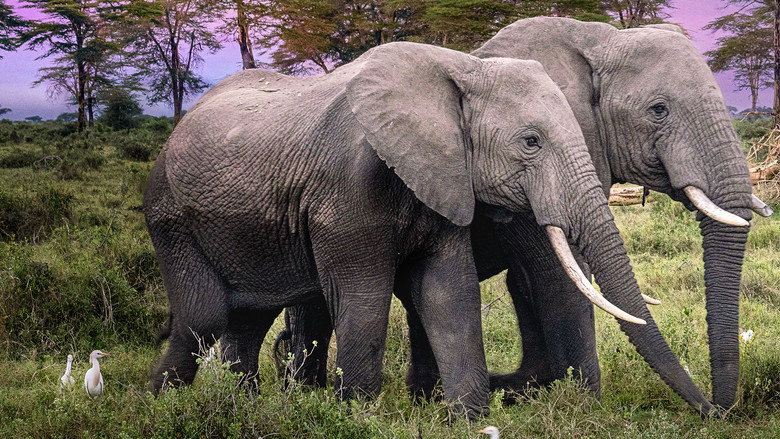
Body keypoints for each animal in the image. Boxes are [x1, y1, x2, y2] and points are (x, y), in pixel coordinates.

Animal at [143, 41, 651, 418]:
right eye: (531, 142)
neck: (458, 71)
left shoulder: (445, 178)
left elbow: (448, 293)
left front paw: (470, 421)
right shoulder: (346, 193)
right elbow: (364, 299)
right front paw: (356, 419)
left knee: (249, 317)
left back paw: (240, 410)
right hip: (171, 218)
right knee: (206, 314)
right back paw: (158, 408)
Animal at [280, 17, 771, 415]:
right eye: (659, 110)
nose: (716, 409)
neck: (596, 39)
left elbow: (529, 281)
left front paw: (535, 390)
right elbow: (558, 275)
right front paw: (584, 404)